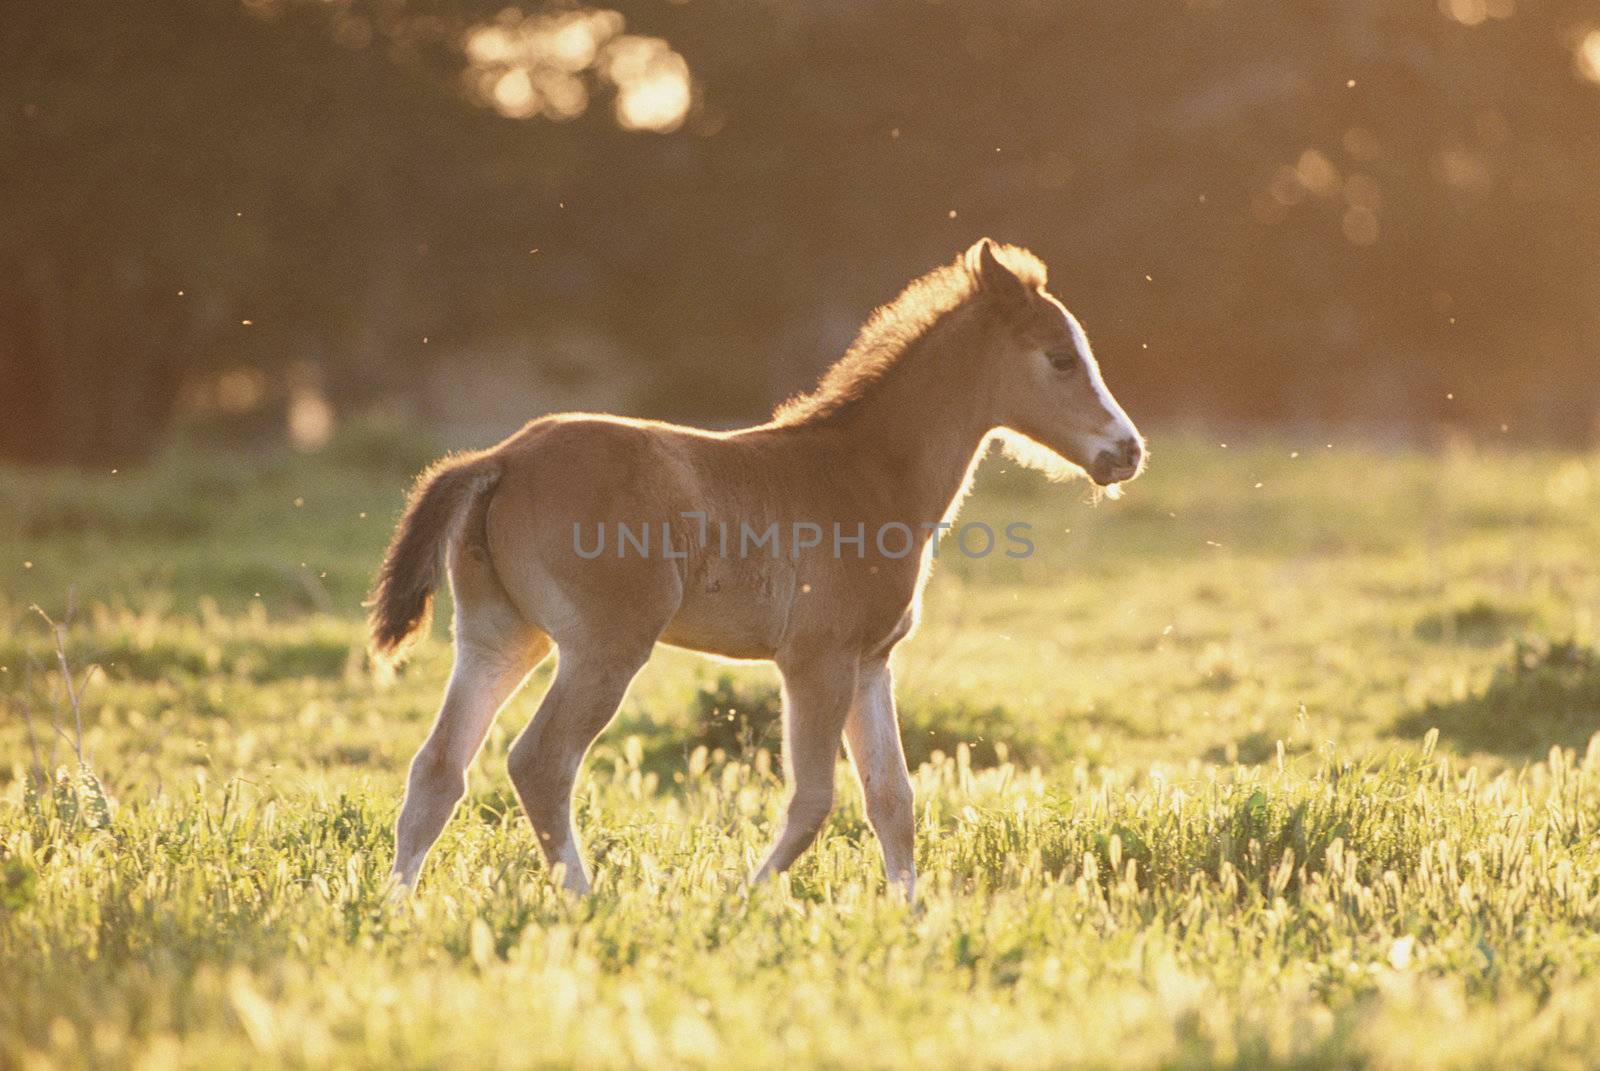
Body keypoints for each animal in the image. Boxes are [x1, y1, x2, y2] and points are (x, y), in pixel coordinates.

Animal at [368, 240, 1145, 896]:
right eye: (1061, 358)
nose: (1127, 451)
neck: (866, 474)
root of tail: (499, 458)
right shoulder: (816, 659)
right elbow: (815, 799)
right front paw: (742, 900)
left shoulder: (871, 662)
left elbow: (893, 797)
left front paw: (911, 915)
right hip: (605, 646)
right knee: (540, 762)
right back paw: (583, 899)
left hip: (499, 638)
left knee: (437, 768)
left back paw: (397, 905)